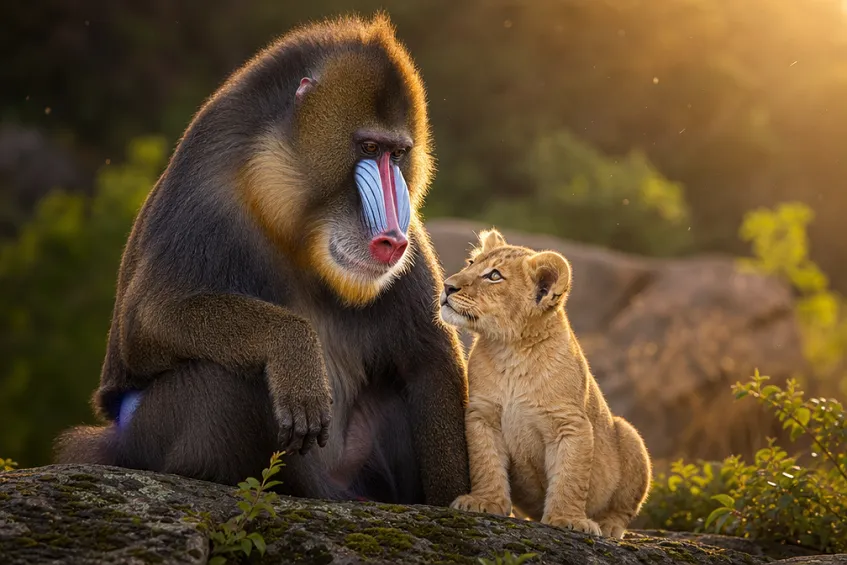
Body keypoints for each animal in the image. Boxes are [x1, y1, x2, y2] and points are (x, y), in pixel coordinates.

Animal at [53, 13, 471, 507]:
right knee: (224, 379)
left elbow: (429, 361)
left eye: (398, 154)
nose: (391, 241)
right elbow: (148, 318)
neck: (288, 222)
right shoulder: (207, 201)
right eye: (369, 149)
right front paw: (294, 352)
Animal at [439, 228, 652, 538]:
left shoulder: (570, 424)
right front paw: (485, 502)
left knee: (622, 509)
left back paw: (608, 525)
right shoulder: (482, 415)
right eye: (471, 262)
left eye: (494, 276)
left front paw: (567, 519)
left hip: (630, 435)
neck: (512, 351)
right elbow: (485, 462)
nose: (447, 286)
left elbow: (570, 476)